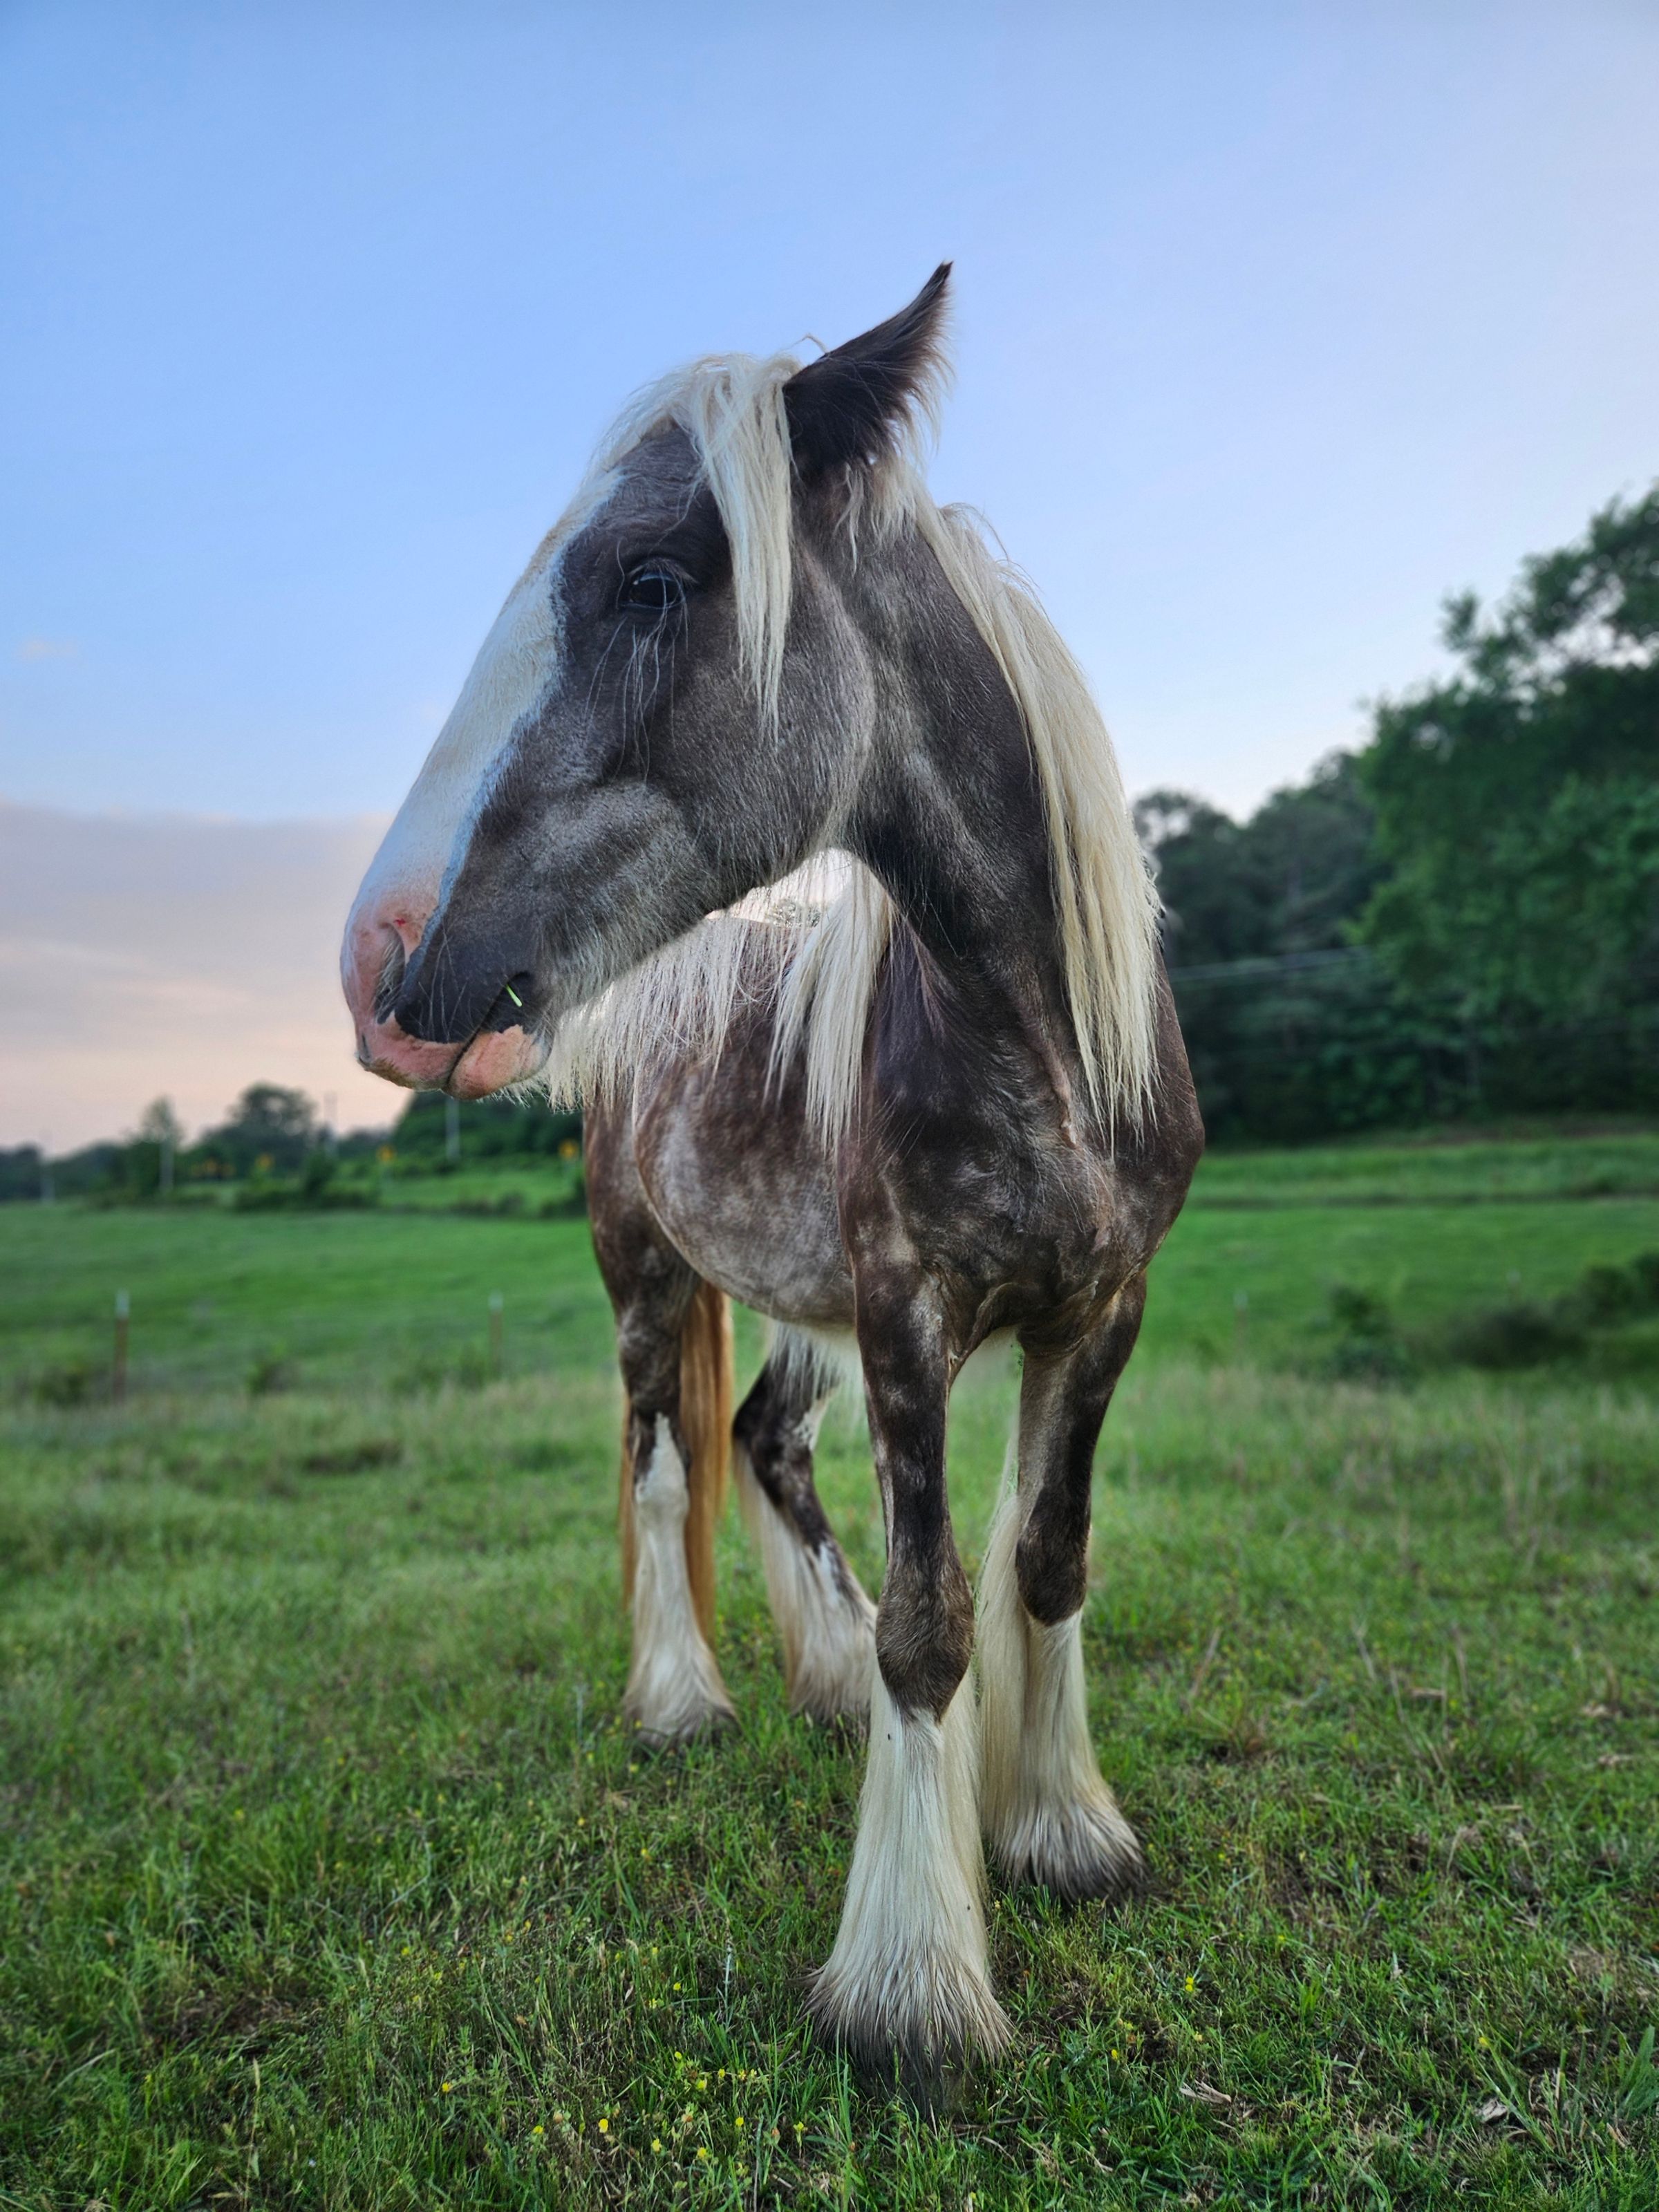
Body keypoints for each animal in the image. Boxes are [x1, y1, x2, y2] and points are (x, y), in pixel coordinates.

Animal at [341, 266, 1204, 2084]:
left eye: (652, 580)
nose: (376, 957)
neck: (1037, 1040)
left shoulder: (1098, 1309)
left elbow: (1042, 1561)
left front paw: (1060, 1830)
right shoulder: (909, 1317)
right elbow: (929, 1623)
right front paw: (912, 1985)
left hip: (799, 1315)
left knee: (760, 1446)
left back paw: (814, 1684)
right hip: (649, 1279)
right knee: (670, 1465)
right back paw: (686, 1700)